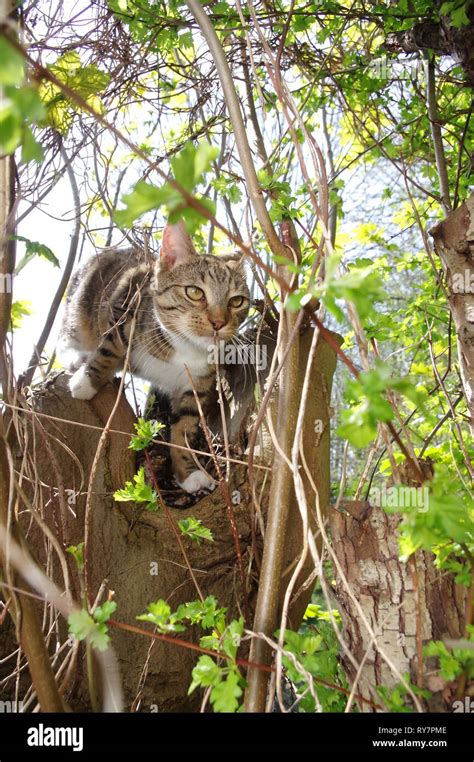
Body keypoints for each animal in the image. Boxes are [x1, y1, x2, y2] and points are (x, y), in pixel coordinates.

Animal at [58, 220, 250, 492]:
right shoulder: (127, 308)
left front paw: (189, 473)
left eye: (236, 301)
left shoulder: (197, 384)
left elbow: (185, 426)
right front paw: (87, 381)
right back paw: (76, 356)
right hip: (81, 299)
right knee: (70, 329)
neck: (185, 347)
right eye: (194, 292)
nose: (218, 322)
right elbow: (110, 349)